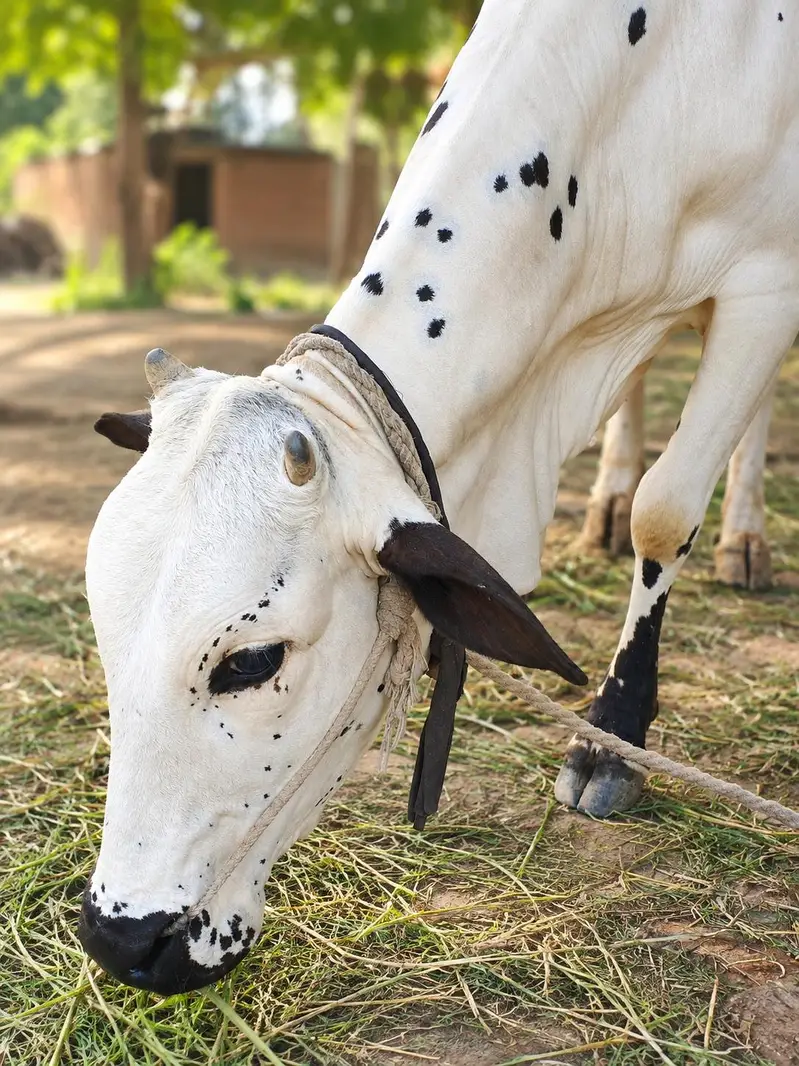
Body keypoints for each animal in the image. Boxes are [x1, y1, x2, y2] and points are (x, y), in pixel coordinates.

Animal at [80, 0, 799, 995]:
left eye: (250, 662)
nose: (118, 939)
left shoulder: (768, 282)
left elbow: (666, 510)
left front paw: (609, 738)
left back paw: (743, 539)